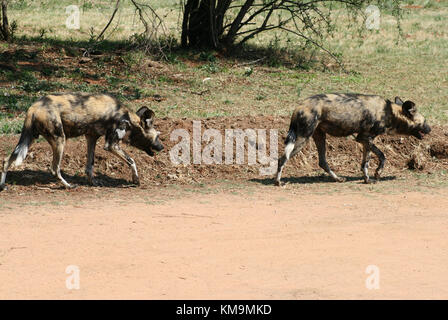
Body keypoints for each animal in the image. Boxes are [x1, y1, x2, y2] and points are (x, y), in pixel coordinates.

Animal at [0, 94, 164, 191]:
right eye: (157, 136)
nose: (162, 147)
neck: (129, 119)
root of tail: (34, 107)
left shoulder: (91, 138)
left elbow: (89, 166)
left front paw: (94, 183)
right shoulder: (111, 145)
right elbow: (132, 161)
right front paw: (136, 180)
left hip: (29, 139)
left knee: (7, 160)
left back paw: (2, 186)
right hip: (59, 140)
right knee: (54, 168)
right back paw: (68, 185)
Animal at [274, 92, 432, 186]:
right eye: (424, 122)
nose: (430, 129)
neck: (390, 113)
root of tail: (299, 107)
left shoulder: (365, 139)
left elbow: (370, 161)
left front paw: (370, 177)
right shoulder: (364, 138)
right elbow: (377, 158)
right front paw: (374, 175)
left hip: (319, 136)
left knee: (322, 161)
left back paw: (337, 179)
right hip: (302, 139)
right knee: (282, 159)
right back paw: (278, 182)